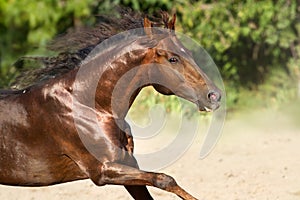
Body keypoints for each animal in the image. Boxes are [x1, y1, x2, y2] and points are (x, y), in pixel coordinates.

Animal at [0, 10, 220, 200]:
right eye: (172, 58)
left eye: (189, 52)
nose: (214, 96)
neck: (90, 106)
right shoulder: (103, 171)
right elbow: (165, 179)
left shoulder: (126, 163)